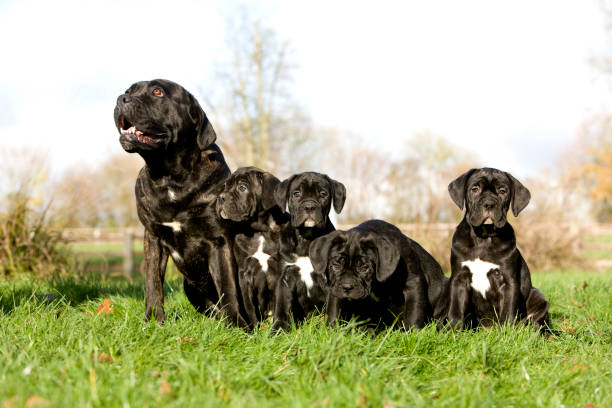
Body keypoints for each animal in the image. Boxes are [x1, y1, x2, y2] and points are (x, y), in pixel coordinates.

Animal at [113, 79, 247, 328]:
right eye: (128, 91)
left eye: (157, 92)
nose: (121, 99)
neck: (171, 177)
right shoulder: (153, 238)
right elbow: (153, 283)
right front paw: (153, 321)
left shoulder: (219, 241)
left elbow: (228, 287)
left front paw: (236, 325)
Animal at [218, 165, 290, 326]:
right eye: (225, 186)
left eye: (242, 187)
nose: (221, 197)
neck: (260, 231)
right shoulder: (244, 274)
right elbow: (249, 305)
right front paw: (253, 328)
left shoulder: (279, 273)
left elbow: (279, 302)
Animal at [272, 172, 344, 332]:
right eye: (296, 194)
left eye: (323, 194)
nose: (309, 206)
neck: (307, 239)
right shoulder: (285, 278)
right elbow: (281, 307)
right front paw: (278, 330)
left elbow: (332, 309)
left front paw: (331, 331)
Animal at [310, 220, 444, 328]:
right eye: (336, 266)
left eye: (364, 268)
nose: (347, 287)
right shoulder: (335, 287)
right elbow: (334, 309)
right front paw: (332, 330)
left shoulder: (414, 283)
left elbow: (414, 312)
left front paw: (412, 334)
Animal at [444, 167, 548, 330]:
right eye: (475, 189)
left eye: (502, 191)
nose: (489, 204)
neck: (484, 238)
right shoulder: (459, 279)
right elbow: (456, 308)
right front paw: (453, 330)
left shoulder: (508, 281)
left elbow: (508, 310)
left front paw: (506, 332)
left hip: (538, 296)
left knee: (536, 321)